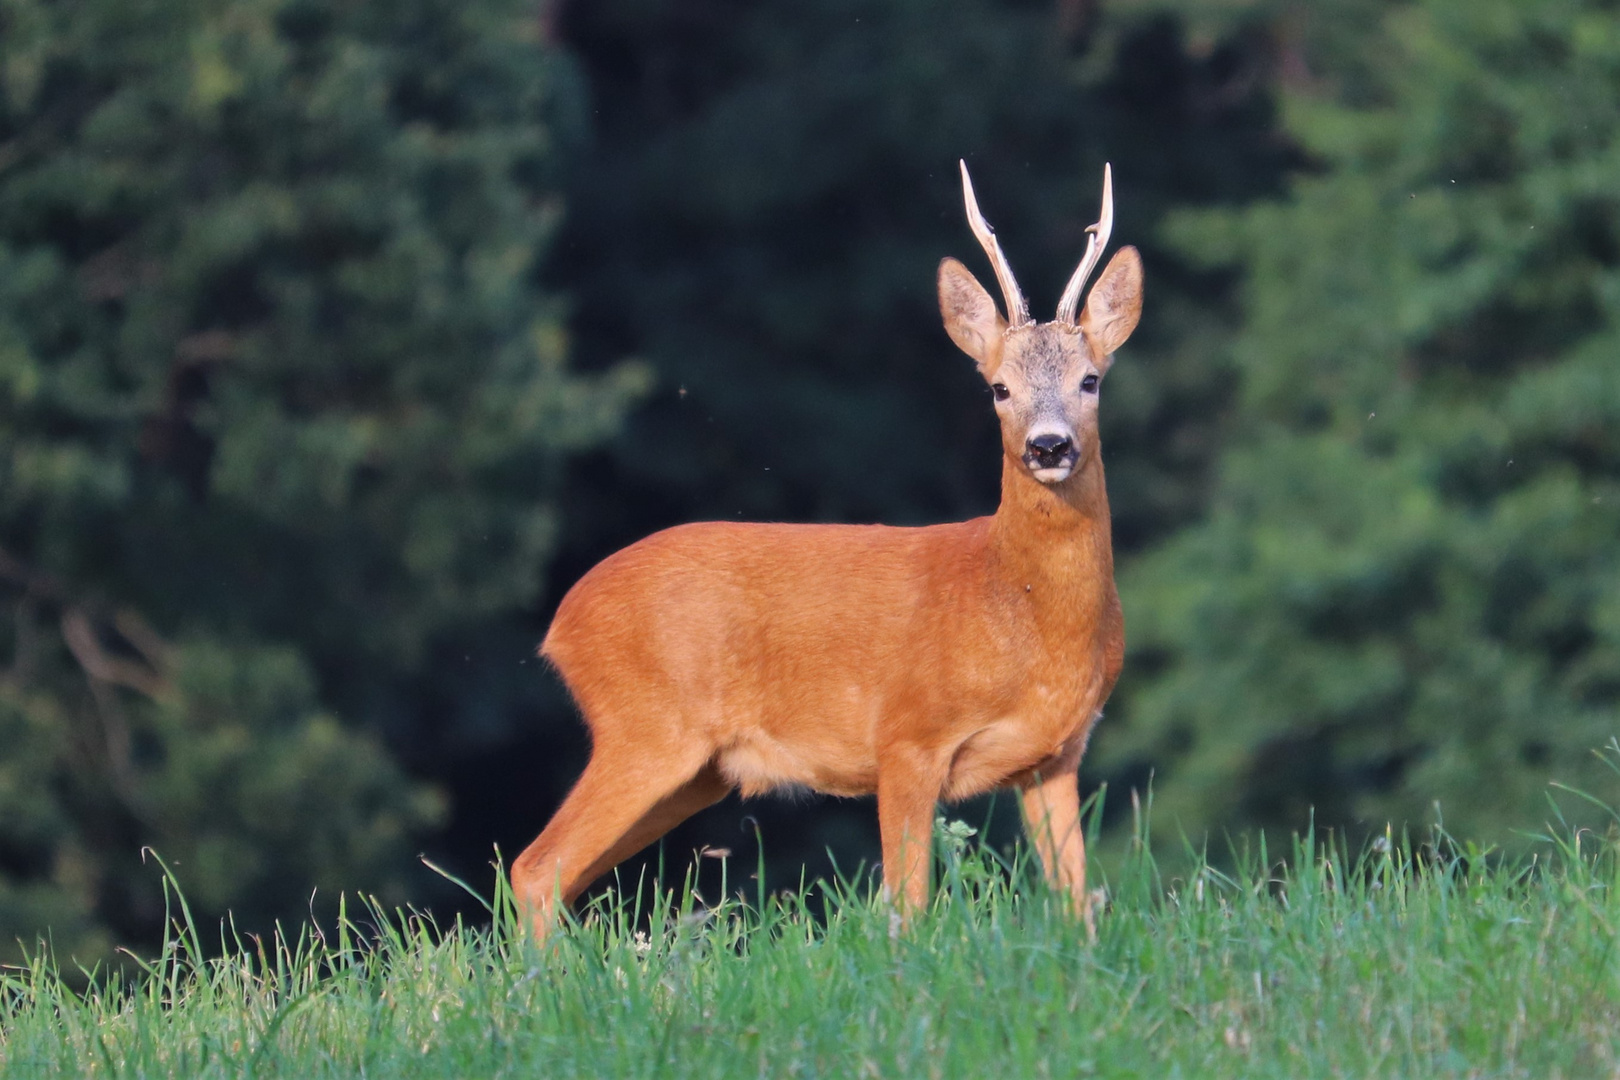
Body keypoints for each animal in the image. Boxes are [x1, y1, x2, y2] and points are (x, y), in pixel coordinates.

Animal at [515, 162, 1140, 939]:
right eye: (999, 387)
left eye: (1091, 379)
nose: (1048, 446)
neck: (1014, 606)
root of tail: (560, 624)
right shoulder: (906, 738)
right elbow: (908, 906)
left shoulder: (1058, 756)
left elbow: (1075, 903)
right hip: (645, 727)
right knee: (536, 867)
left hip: (694, 771)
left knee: (563, 874)